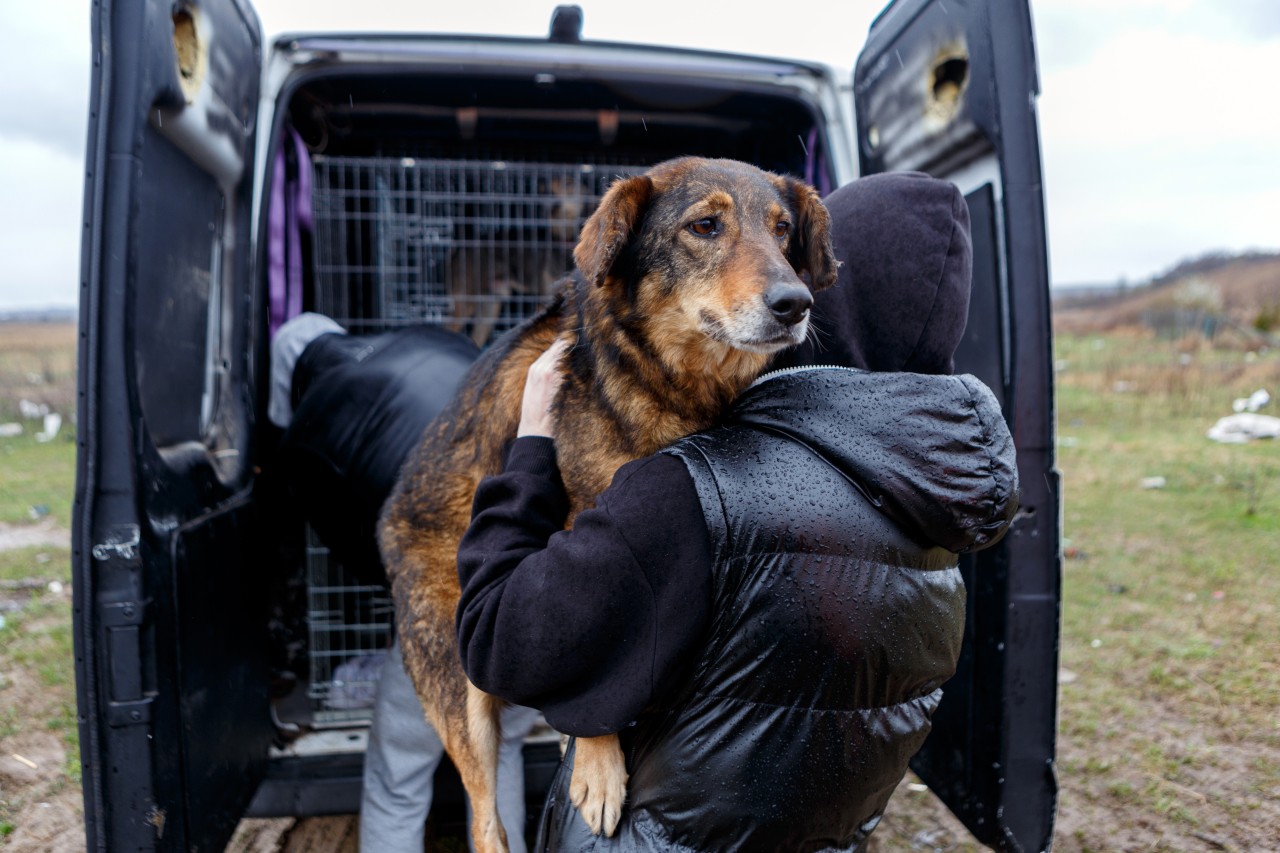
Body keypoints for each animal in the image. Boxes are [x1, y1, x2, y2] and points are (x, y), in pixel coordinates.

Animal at [376, 154, 839, 850]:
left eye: (783, 231)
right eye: (705, 226)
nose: (795, 304)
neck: (670, 384)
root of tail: (390, 520)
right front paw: (597, 767)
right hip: (458, 687)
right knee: (486, 820)